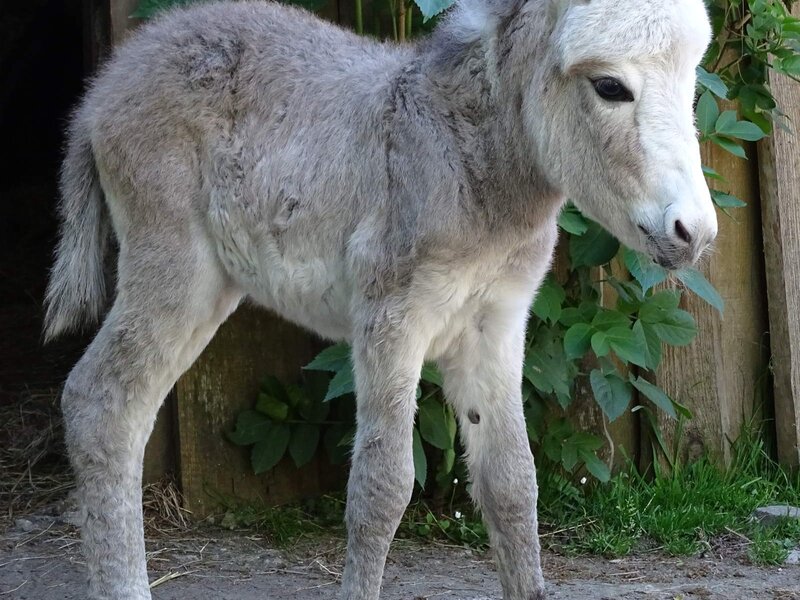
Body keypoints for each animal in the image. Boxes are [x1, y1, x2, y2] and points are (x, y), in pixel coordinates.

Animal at [45, 1, 720, 600]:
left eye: (691, 87)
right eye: (610, 87)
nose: (696, 234)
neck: (472, 159)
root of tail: (110, 78)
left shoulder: (496, 325)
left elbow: (512, 483)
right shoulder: (392, 320)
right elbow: (383, 488)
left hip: (210, 288)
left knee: (125, 411)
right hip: (175, 270)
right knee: (100, 404)